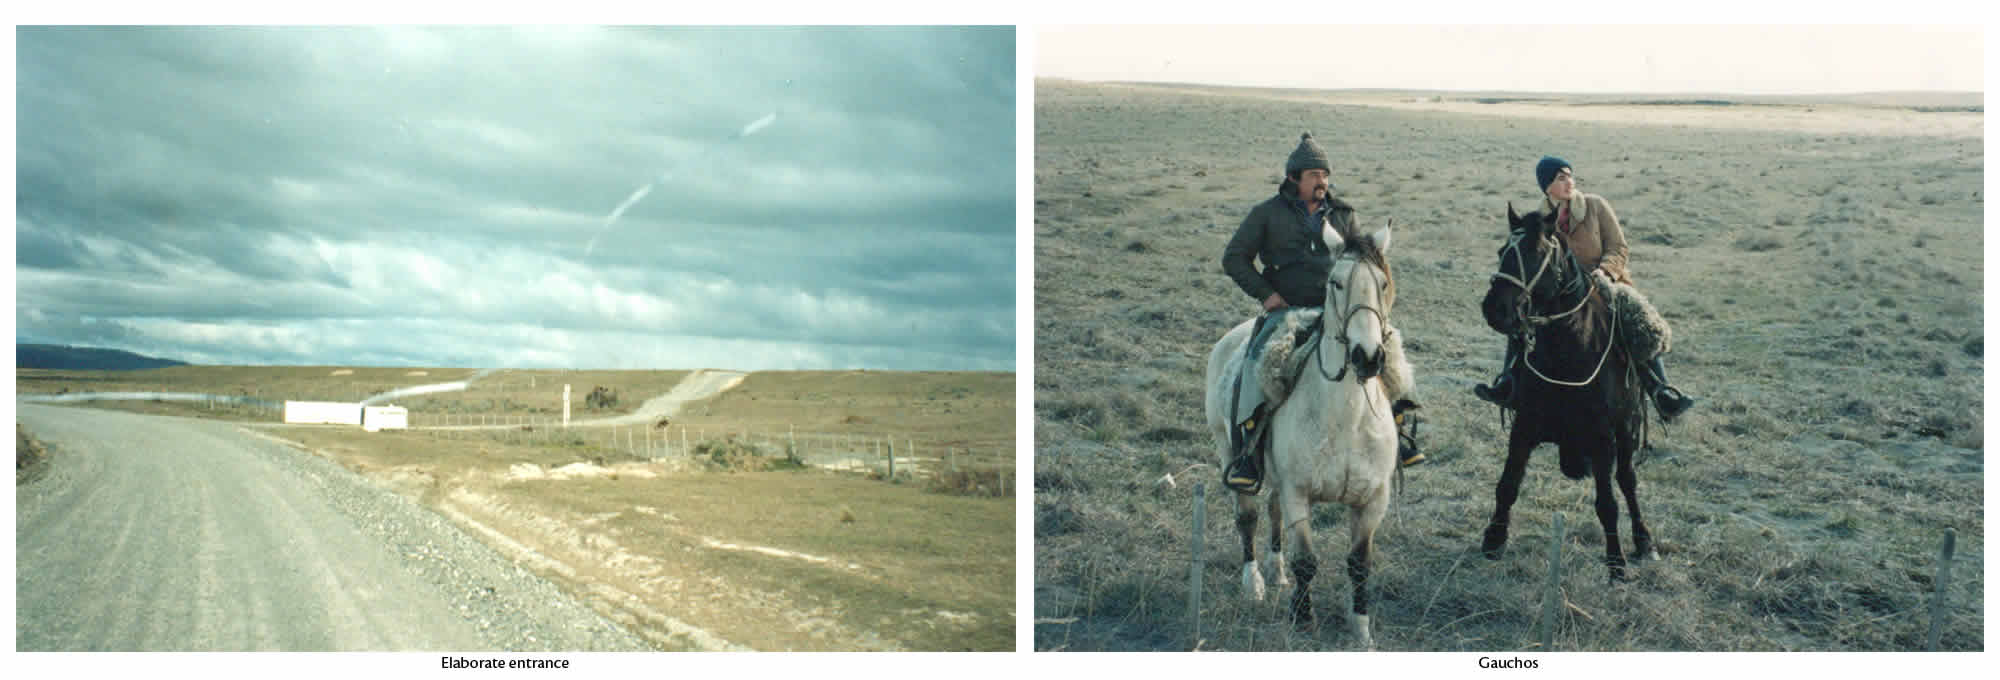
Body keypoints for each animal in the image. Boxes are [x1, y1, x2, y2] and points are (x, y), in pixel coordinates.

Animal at [1200, 219, 1408, 648]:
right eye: (1336, 282)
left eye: (1382, 283)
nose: (1368, 356)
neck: (1347, 418)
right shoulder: (1299, 493)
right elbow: (1307, 560)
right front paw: (1303, 617)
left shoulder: (1372, 501)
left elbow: (1359, 563)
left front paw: (1361, 628)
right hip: (1229, 453)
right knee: (1248, 517)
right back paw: (1255, 583)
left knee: (1272, 511)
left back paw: (1276, 572)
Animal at [1472, 202, 1656, 580]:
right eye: (1502, 251)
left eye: (1537, 253)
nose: (1496, 309)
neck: (1569, 352)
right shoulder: (1524, 426)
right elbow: (1507, 485)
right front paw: (1494, 539)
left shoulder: (1602, 438)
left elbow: (1607, 503)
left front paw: (1616, 563)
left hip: (1627, 429)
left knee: (1627, 481)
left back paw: (1643, 539)